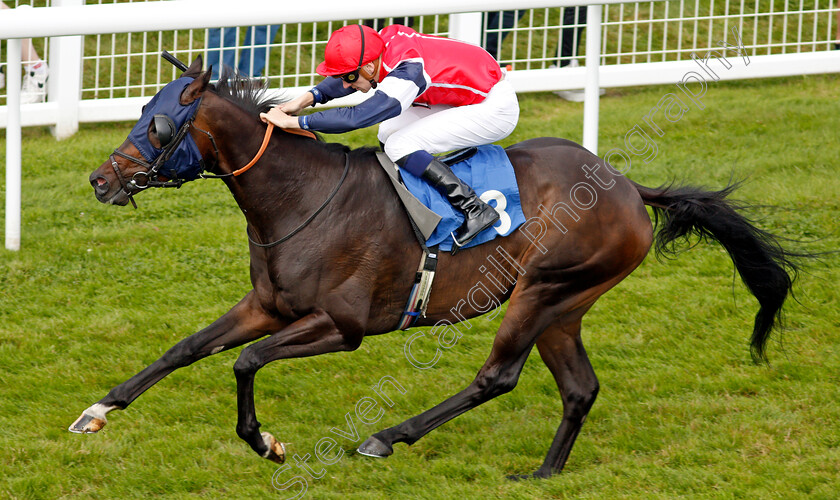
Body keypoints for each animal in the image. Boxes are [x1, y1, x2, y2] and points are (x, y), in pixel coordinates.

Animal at [74, 56, 800, 478]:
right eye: (140, 112)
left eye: (159, 125)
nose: (100, 180)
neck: (299, 197)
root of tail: (626, 186)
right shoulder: (268, 306)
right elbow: (186, 347)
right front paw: (97, 412)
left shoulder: (340, 326)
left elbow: (244, 363)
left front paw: (266, 443)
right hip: (565, 306)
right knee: (579, 388)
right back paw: (543, 474)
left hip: (542, 291)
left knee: (497, 376)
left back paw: (387, 437)